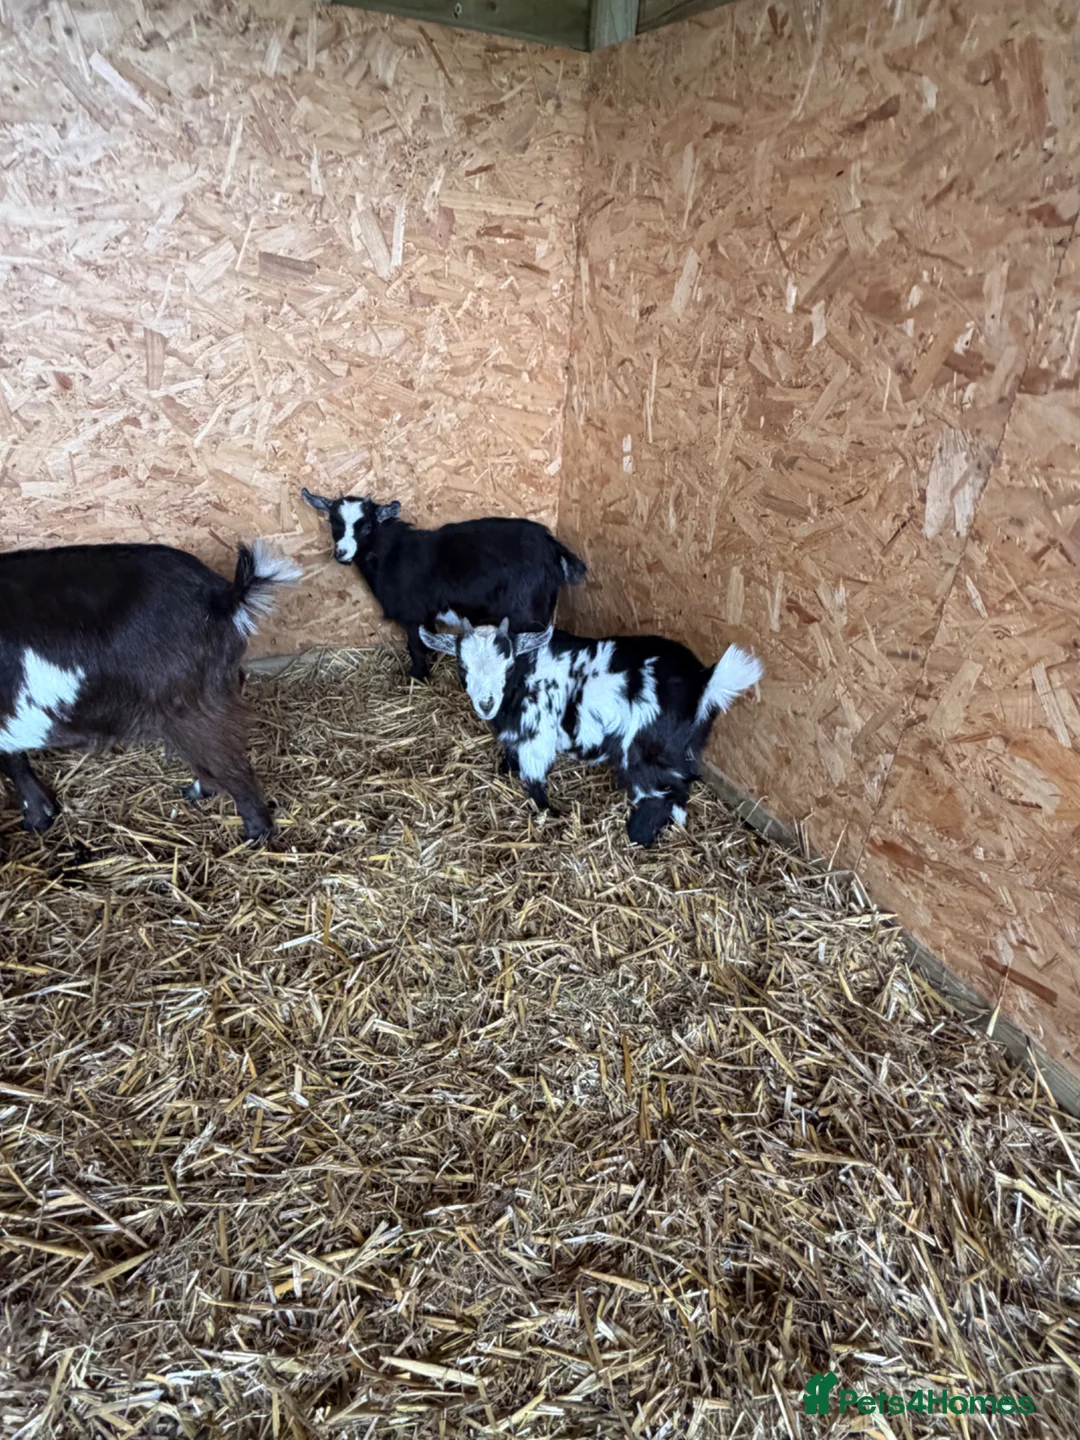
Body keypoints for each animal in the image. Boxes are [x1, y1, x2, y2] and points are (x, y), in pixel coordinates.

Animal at [0, 539, 300, 842]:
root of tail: (225, 597)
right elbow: (16, 761)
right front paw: (42, 814)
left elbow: (14, 763)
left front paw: (37, 819)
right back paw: (199, 792)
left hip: (191, 705)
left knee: (232, 767)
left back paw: (255, 835)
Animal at [301, 489, 587, 681]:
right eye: (334, 522)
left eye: (367, 526)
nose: (341, 553)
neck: (390, 554)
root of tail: (553, 547)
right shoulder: (426, 613)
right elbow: (428, 640)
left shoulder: (412, 612)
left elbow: (415, 646)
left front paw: (417, 675)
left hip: (526, 610)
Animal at [420, 618, 763, 847]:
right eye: (462, 667)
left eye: (507, 666)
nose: (486, 703)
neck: (526, 676)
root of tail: (704, 683)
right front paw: (505, 767)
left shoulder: (538, 737)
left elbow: (534, 779)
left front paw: (548, 811)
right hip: (682, 748)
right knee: (680, 788)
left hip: (642, 752)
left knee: (658, 796)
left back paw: (637, 838)